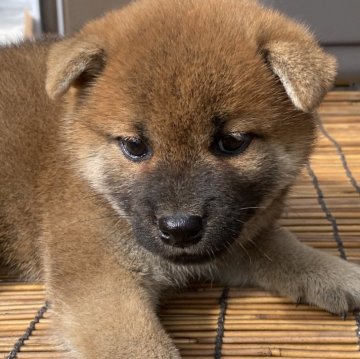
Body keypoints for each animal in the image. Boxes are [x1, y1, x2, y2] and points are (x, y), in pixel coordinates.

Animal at [0, 0, 360, 358]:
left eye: (232, 142)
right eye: (135, 146)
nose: (180, 229)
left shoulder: (229, 241)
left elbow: (281, 244)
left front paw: (335, 272)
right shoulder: (101, 282)